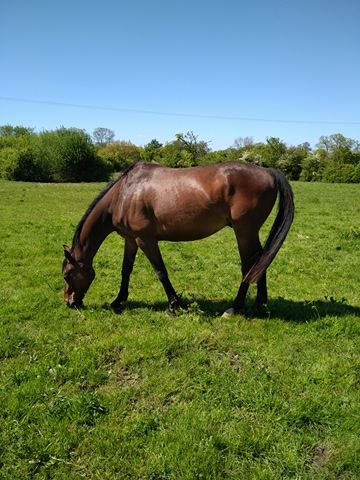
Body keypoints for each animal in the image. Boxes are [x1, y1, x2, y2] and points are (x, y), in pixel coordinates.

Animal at [63, 163, 294, 316]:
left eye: (67, 275)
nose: (69, 302)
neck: (125, 193)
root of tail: (268, 171)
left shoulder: (145, 240)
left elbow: (161, 271)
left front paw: (173, 305)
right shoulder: (131, 240)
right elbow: (126, 270)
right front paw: (118, 300)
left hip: (244, 231)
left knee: (249, 264)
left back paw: (235, 307)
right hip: (249, 232)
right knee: (260, 261)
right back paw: (260, 304)